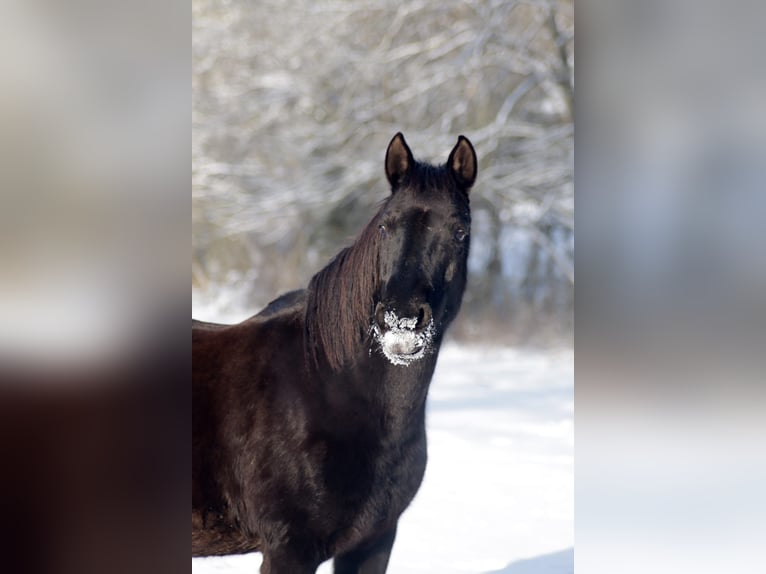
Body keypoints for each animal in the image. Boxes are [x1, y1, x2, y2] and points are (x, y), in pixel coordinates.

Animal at [192, 132, 477, 573]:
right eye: (384, 226)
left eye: (460, 231)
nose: (401, 319)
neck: (327, 387)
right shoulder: (289, 549)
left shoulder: (373, 541)